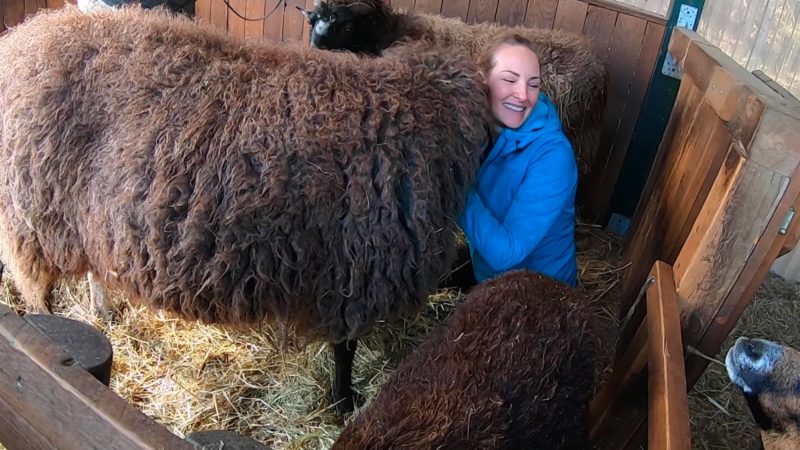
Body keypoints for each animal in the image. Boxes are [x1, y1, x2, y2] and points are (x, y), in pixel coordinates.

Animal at [0, 5, 490, 414]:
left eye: (350, 24)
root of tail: (24, 37)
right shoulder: (357, 268)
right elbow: (345, 349)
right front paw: (343, 402)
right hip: (29, 215)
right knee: (38, 290)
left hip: (77, 218)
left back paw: (102, 313)